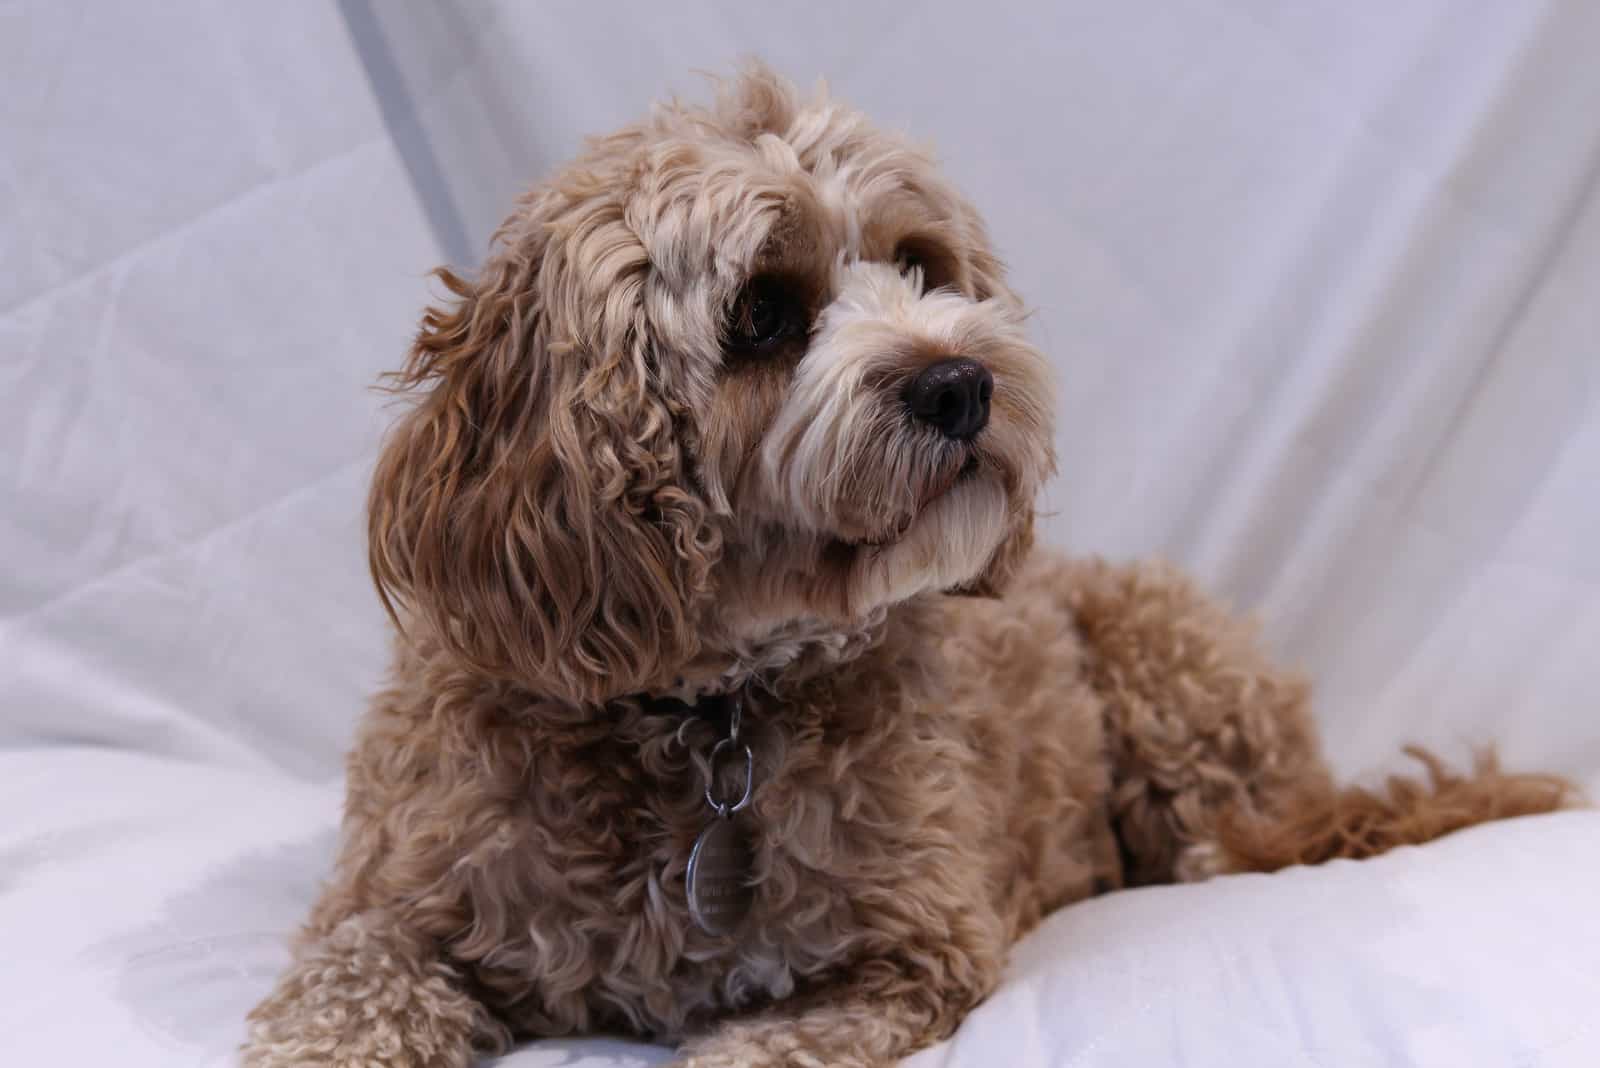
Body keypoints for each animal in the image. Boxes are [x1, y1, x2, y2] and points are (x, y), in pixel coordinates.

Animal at [240, 66, 1574, 1068]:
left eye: (921, 264)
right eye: (761, 314)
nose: (961, 380)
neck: (705, 714)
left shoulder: (910, 952)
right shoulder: (388, 917)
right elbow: (342, 996)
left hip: (1172, 670)